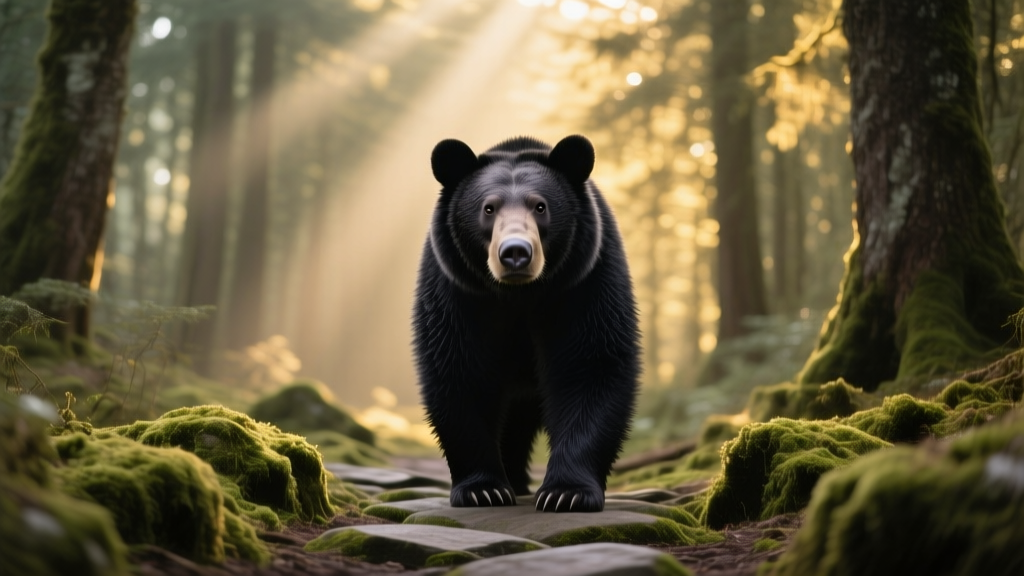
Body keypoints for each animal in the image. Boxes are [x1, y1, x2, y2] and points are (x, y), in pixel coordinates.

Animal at [412, 134, 640, 513]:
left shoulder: (584, 281)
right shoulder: (457, 291)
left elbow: (590, 365)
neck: (519, 295)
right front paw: (483, 490)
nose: (515, 253)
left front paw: (566, 493)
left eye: (540, 207)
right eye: (488, 208)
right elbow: (459, 370)